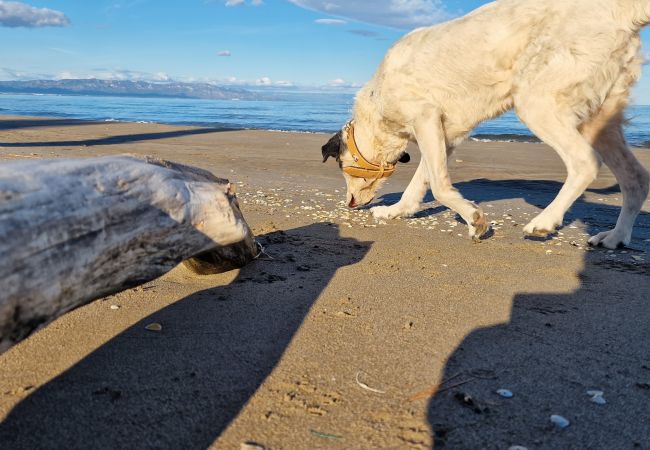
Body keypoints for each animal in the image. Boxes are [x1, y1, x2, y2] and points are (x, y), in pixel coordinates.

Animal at [322, 0, 648, 250]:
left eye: (341, 167)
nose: (349, 203)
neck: (377, 103)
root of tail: (617, 9)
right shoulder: (442, 135)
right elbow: (419, 185)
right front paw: (395, 212)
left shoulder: (426, 119)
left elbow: (438, 187)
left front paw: (474, 220)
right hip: (600, 120)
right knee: (636, 179)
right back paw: (615, 237)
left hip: (534, 101)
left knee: (585, 163)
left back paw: (544, 221)